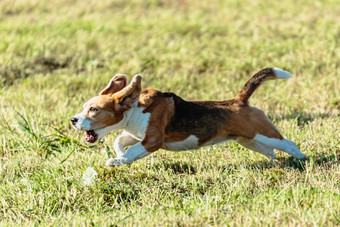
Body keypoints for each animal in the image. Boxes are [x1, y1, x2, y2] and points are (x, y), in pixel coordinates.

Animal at [71, 68, 306, 166]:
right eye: (84, 107)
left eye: (93, 109)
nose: (73, 120)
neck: (133, 108)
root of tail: (239, 100)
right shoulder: (138, 135)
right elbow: (120, 141)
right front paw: (120, 156)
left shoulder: (152, 140)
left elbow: (132, 151)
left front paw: (118, 161)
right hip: (249, 141)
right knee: (272, 152)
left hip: (263, 133)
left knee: (290, 144)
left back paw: (303, 160)